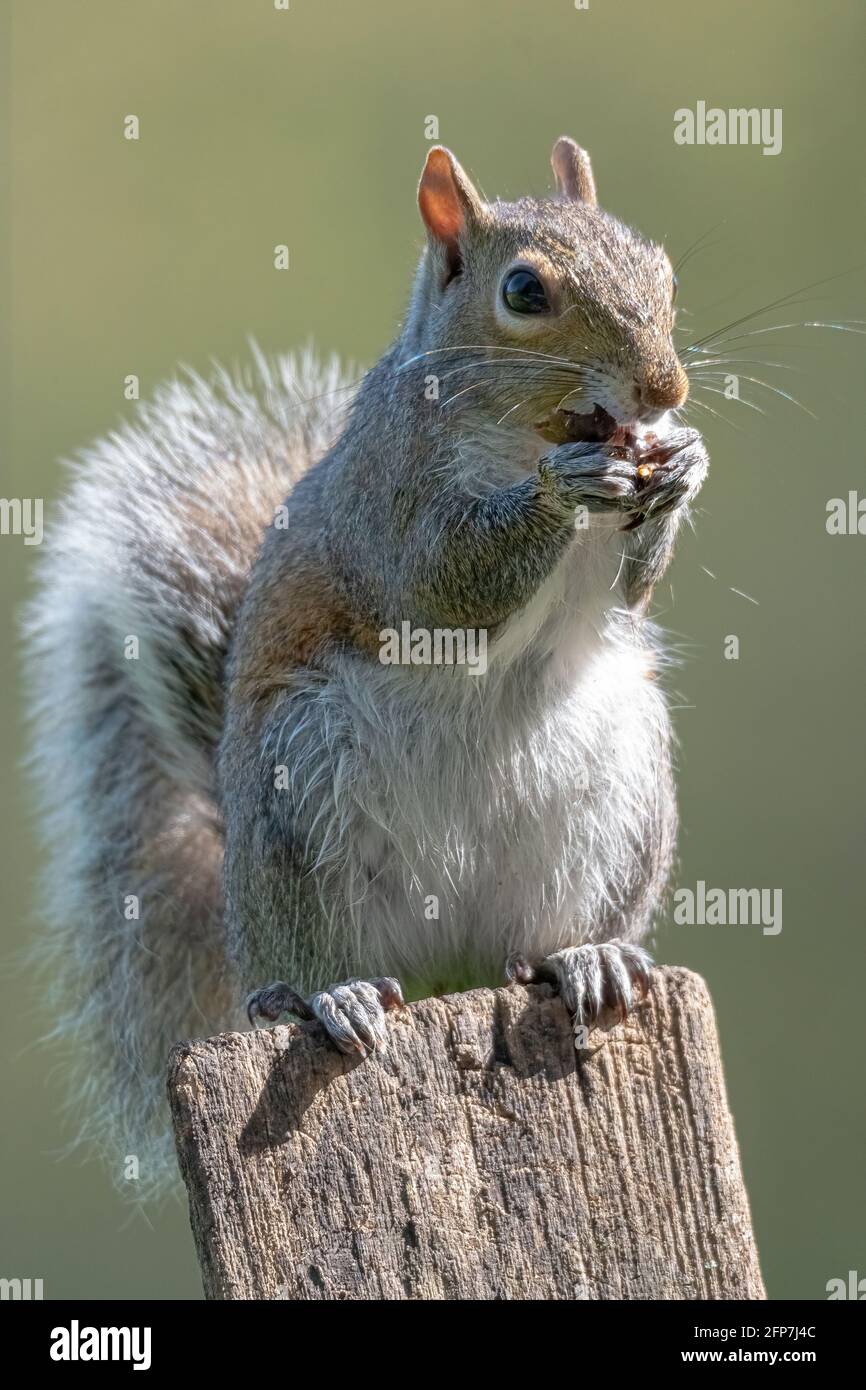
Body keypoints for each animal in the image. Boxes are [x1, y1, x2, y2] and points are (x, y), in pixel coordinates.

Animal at [27, 137, 708, 1192]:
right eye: (524, 291)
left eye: (663, 266)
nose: (664, 390)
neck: (528, 430)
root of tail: (445, 962)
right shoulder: (391, 506)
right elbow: (448, 582)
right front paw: (566, 487)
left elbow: (629, 593)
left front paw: (682, 464)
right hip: (302, 784)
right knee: (305, 966)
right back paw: (328, 996)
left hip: (619, 794)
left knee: (534, 951)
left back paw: (584, 957)